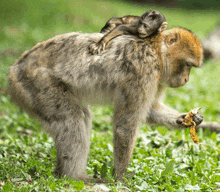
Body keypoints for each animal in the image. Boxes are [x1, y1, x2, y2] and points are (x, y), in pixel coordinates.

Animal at [8, 27, 217, 182]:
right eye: (187, 65)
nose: (186, 79)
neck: (156, 50)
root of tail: (13, 70)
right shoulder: (144, 70)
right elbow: (126, 126)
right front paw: (121, 178)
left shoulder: (157, 79)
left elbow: (150, 110)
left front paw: (187, 119)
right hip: (36, 84)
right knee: (72, 119)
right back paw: (72, 176)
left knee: (79, 116)